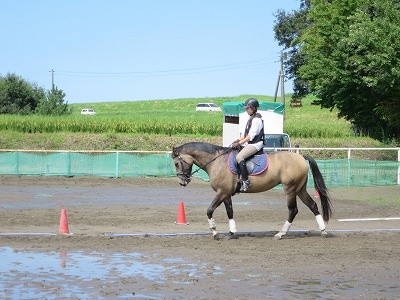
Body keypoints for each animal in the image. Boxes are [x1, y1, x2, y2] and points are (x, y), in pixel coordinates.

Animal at [171, 142, 332, 240]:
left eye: (177, 163)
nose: (182, 182)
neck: (216, 161)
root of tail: (300, 157)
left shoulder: (222, 192)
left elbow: (209, 210)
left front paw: (215, 232)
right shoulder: (226, 193)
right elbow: (230, 212)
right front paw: (232, 232)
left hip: (290, 189)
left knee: (293, 210)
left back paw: (281, 234)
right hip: (300, 189)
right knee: (312, 205)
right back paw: (323, 230)